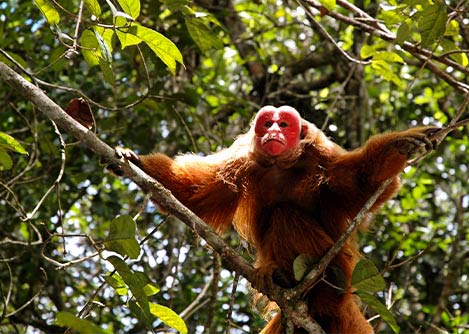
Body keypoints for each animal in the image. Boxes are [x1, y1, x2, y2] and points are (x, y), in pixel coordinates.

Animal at [109, 106, 438, 334]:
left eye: (284, 124)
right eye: (267, 123)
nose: (273, 133)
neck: (282, 164)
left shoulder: (323, 155)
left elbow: (363, 183)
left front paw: (400, 145)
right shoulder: (240, 161)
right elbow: (195, 195)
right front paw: (137, 164)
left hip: (344, 271)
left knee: (285, 214)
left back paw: (321, 280)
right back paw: (280, 278)